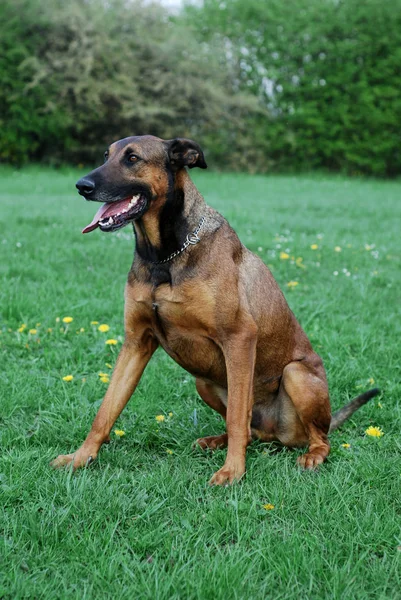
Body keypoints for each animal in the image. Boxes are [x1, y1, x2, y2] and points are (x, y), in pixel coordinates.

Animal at [50, 135, 378, 482]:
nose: (82, 186)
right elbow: (106, 410)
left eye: (133, 158)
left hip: (296, 375)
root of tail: (275, 433)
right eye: (106, 156)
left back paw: (312, 455)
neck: (163, 257)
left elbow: (236, 415)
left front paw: (233, 471)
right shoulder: (136, 342)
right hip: (203, 381)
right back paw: (216, 440)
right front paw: (80, 457)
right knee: (250, 431)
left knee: (314, 436)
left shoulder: (239, 338)